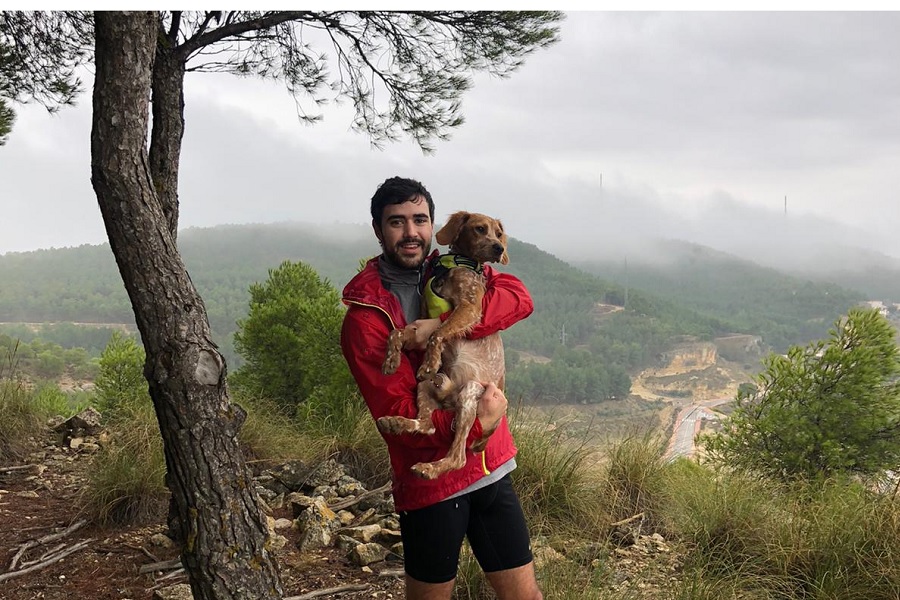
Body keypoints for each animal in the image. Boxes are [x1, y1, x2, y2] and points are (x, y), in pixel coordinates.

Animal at [378, 211, 510, 480]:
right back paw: (396, 422)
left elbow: (438, 332)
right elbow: (397, 332)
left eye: (499, 233)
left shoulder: (470, 308)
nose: (498, 247)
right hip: (426, 387)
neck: (457, 264)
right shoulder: (420, 319)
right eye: (480, 229)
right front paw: (391, 359)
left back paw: (429, 468)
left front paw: (429, 362)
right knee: (427, 426)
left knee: (458, 457)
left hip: (470, 392)